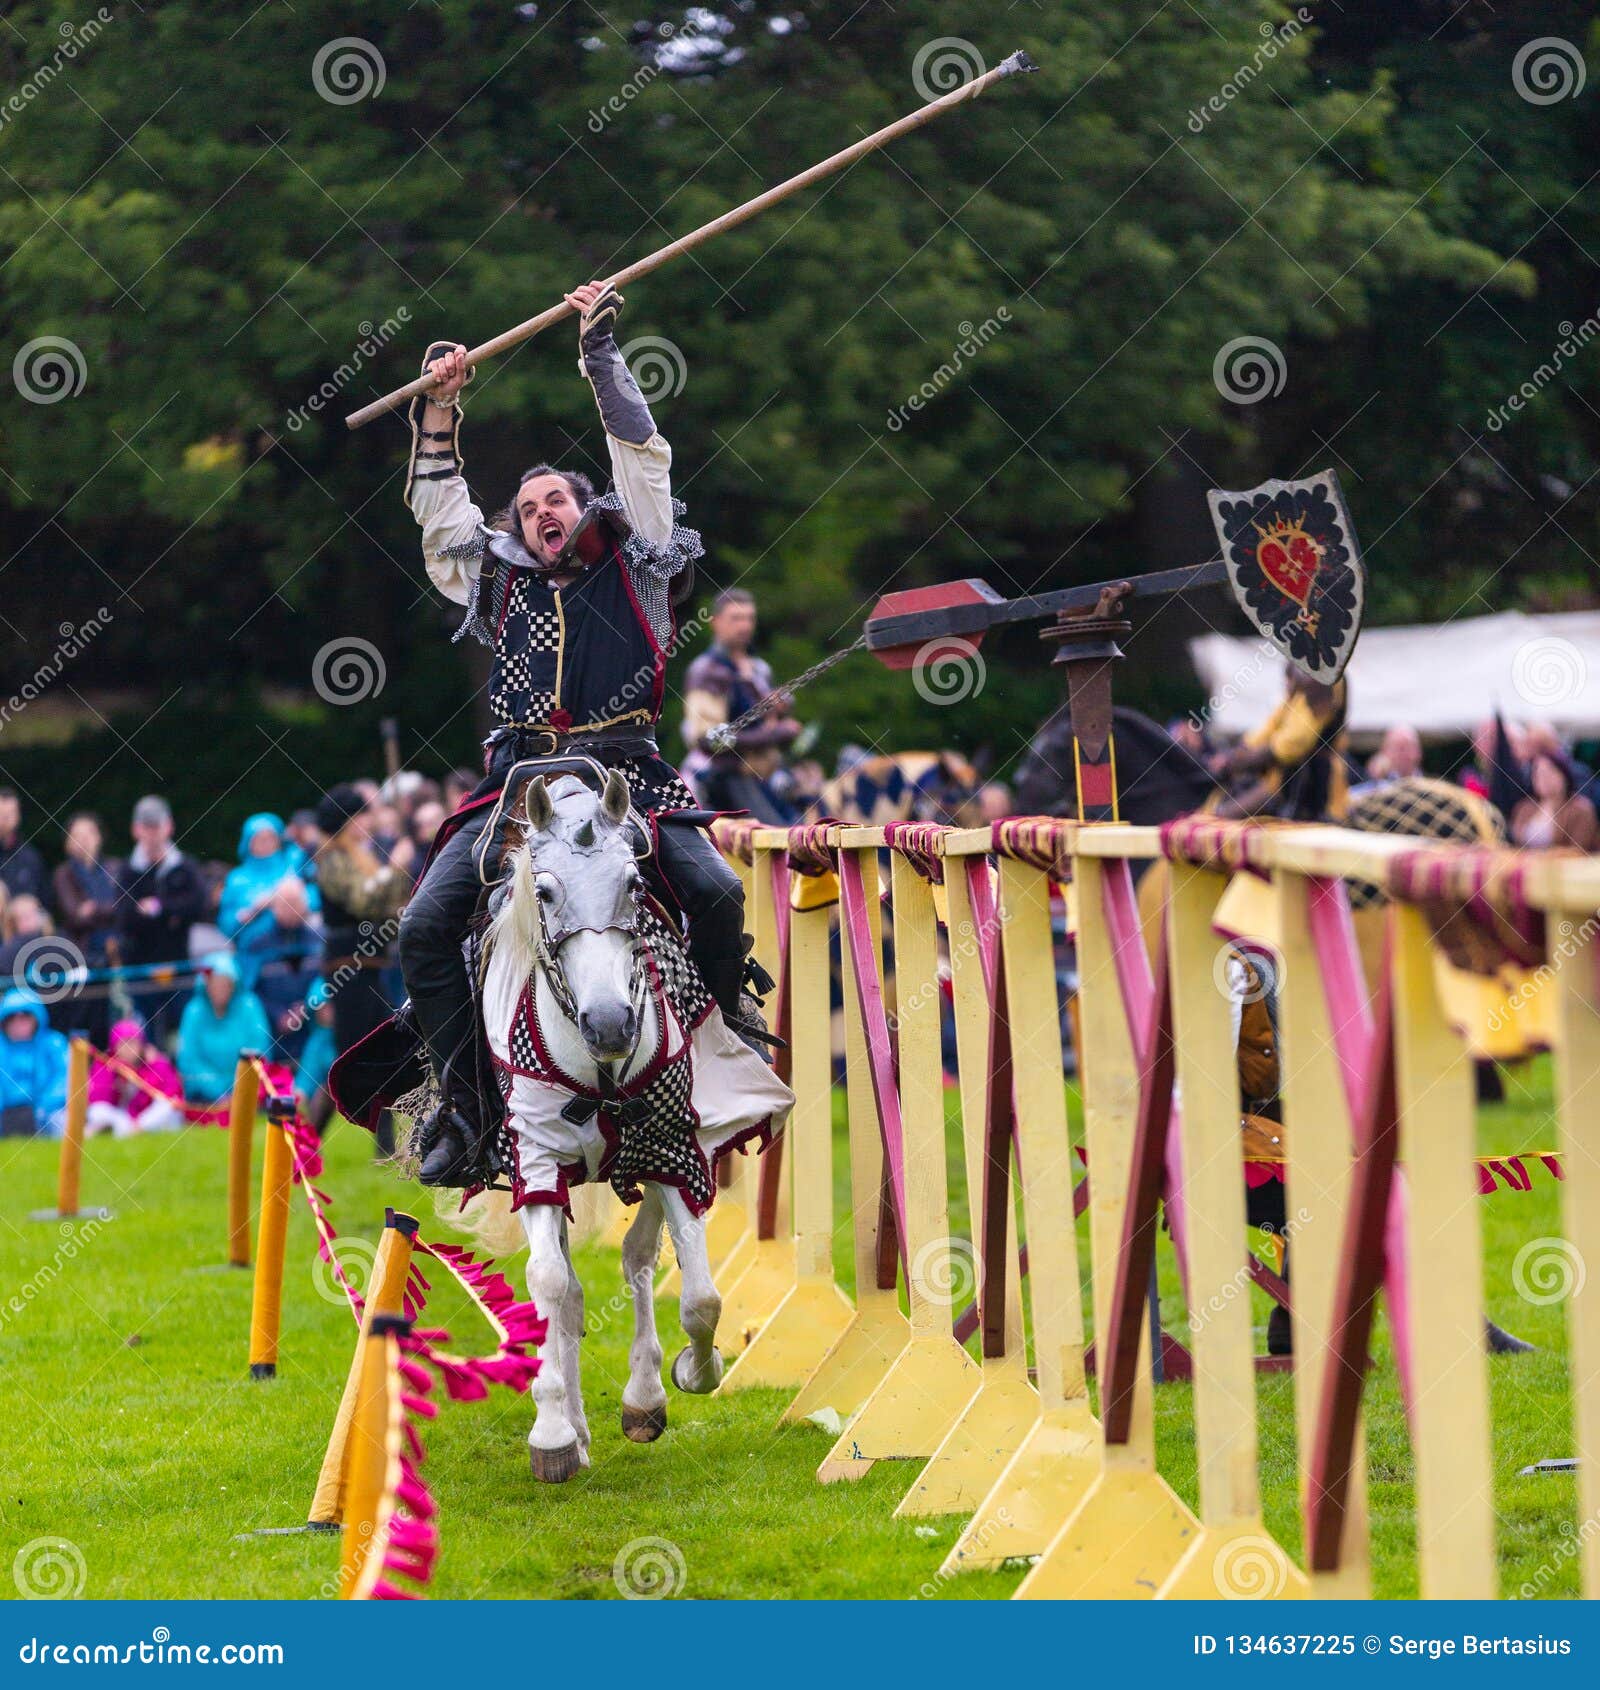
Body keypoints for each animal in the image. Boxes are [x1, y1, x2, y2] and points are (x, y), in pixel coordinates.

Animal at [462, 774, 787, 1487]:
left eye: (635, 884)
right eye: (544, 892)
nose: (610, 1024)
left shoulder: (673, 1148)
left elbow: (700, 1297)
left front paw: (692, 1371)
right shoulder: (537, 1163)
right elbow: (550, 1286)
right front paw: (553, 1434)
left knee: (639, 1255)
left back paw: (642, 1398)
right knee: (571, 1290)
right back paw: (578, 1430)